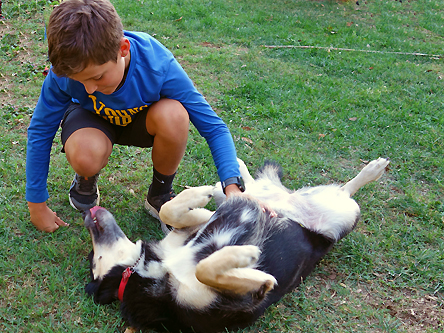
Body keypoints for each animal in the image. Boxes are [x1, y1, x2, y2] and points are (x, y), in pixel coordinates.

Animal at [83, 157, 388, 330]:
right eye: (92, 259)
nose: (88, 215)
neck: (146, 270)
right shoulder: (239, 302)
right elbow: (205, 268)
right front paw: (247, 259)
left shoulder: (189, 229)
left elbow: (170, 210)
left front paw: (197, 194)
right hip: (341, 211)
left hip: (322, 205)